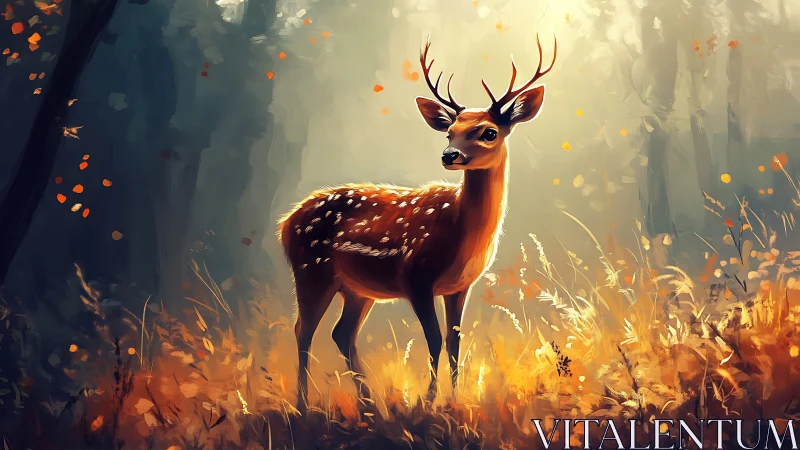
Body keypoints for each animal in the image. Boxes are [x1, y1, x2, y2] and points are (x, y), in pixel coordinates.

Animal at [278, 35, 556, 409]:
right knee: (303, 330)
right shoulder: (416, 277)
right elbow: (434, 339)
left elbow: (454, 341)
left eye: (488, 132)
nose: (449, 155)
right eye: (449, 132)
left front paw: (454, 399)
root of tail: (285, 223)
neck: (460, 230)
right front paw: (429, 400)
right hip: (311, 269)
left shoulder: (459, 286)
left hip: (355, 288)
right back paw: (304, 405)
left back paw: (369, 404)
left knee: (341, 333)